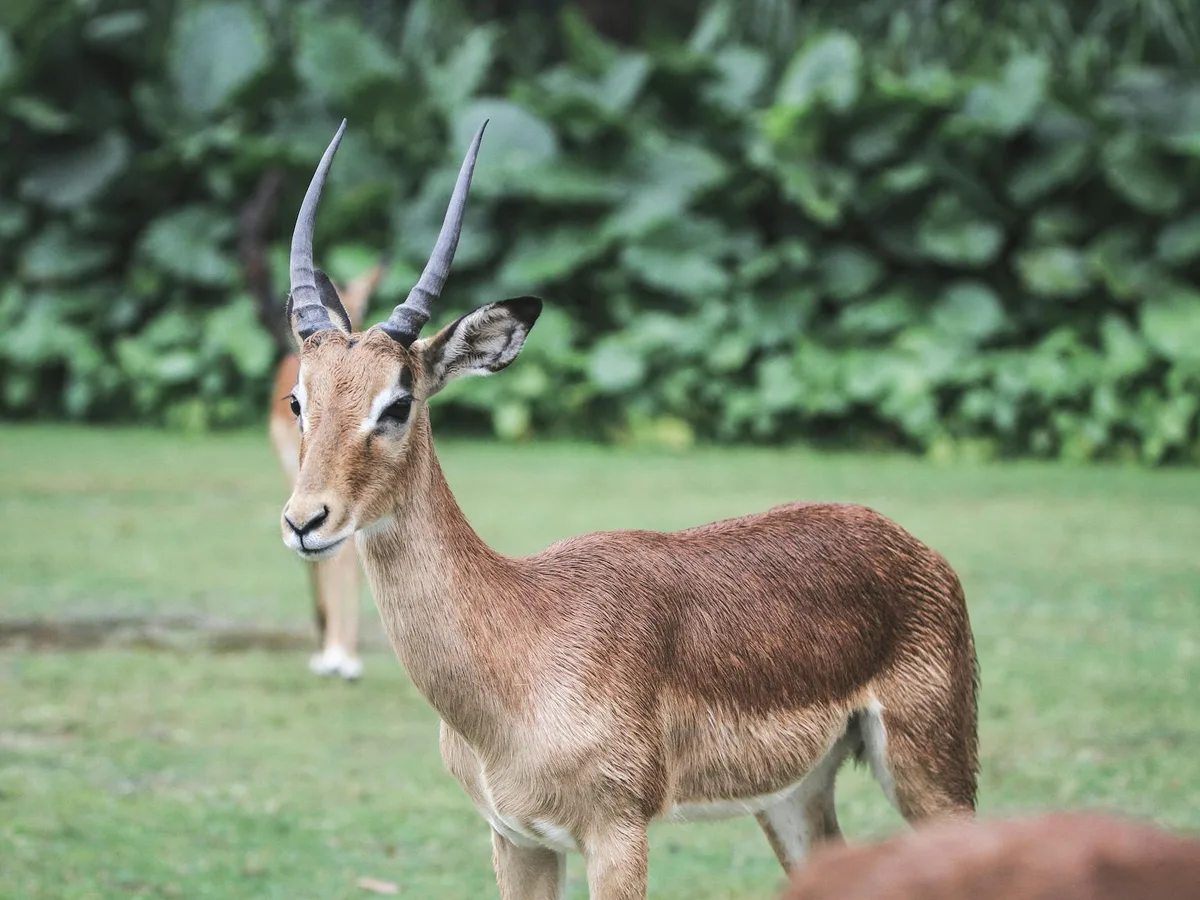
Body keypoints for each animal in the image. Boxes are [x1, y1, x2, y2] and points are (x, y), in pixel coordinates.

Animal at [277, 119, 980, 899]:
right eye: (298, 399)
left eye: (397, 403)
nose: (305, 521)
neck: (521, 643)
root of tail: (914, 547)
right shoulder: (515, 839)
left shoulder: (617, 834)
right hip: (793, 795)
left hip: (932, 773)